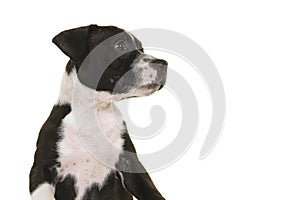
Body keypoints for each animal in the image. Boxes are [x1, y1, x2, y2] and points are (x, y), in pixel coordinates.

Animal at [29, 25, 168, 200]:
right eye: (119, 46)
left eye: (141, 49)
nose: (163, 63)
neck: (94, 113)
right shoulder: (42, 169)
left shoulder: (131, 165)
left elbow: (151, 192)